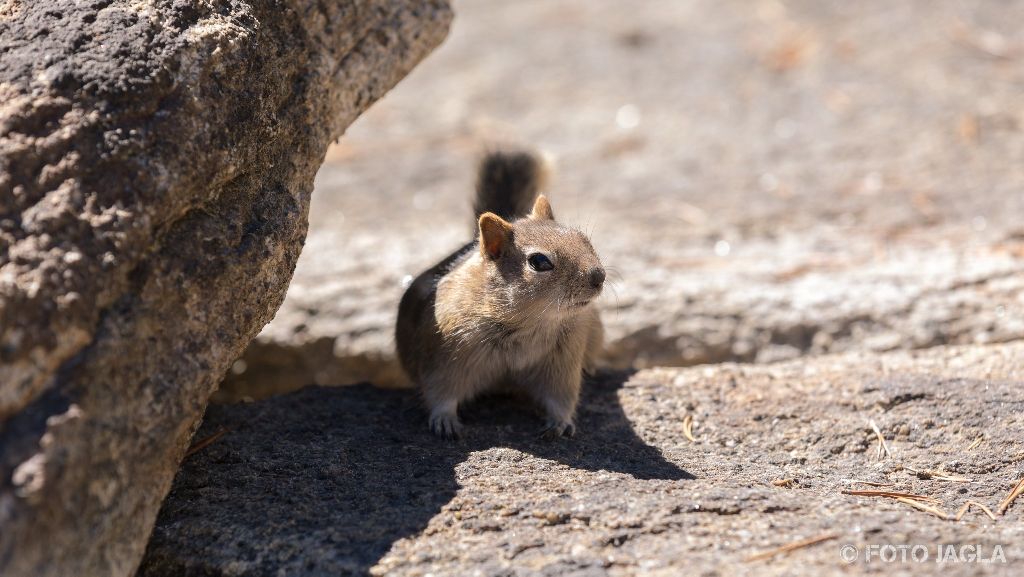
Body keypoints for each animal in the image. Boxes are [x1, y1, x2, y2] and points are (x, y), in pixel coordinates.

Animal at [396, 148, 605, 440]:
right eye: (540, 262)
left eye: (584, 239)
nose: (599, 277)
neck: (527, 323)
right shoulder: (443, 357)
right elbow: (440, 391)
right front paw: (444, 421)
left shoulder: (563, 361)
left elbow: (561, 396)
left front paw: (561, 422)